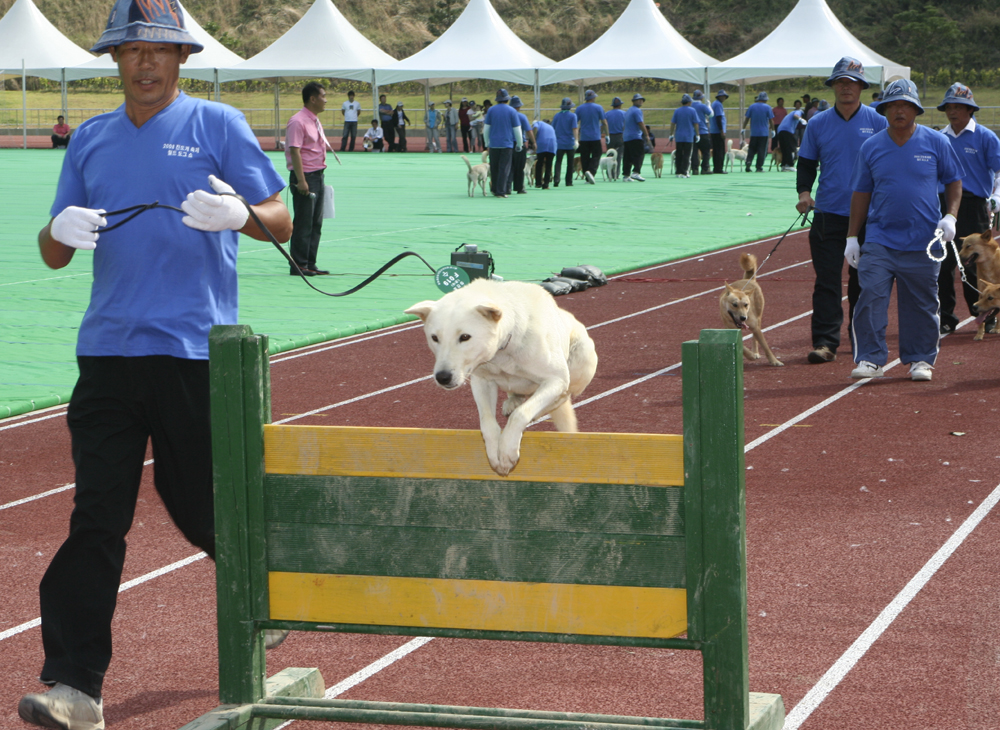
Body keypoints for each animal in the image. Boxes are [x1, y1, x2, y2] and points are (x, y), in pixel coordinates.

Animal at [404, 278, 592, 478]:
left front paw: (507, 450)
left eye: (465, 337)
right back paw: (513, 401)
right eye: (434, 338)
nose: (443, 377)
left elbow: (521, 414)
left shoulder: (556, 379)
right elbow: (487, 423)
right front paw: (495, 452)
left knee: (562, 397)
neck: (503, 349)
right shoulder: (481, 381)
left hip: (583, 354)